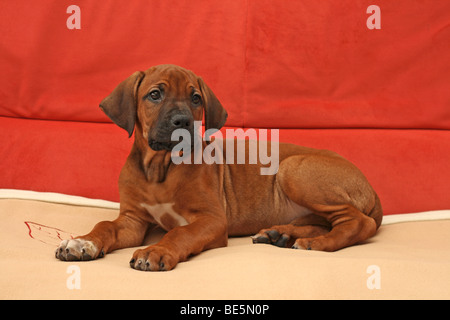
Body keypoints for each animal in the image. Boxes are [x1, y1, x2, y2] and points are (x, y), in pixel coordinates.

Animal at [54, 63, 382, 272]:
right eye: (155, 94)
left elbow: (180, 233)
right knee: (326, 221)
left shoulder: (211, 220)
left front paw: (156, 250)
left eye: (195, 98)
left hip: (294, 170)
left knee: (358, 222)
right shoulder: (132, 220)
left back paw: (316, 243)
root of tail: (372, 188)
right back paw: (279, 234)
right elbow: (105, 225)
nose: (182, 121)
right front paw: (82, 243)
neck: (160, 170)